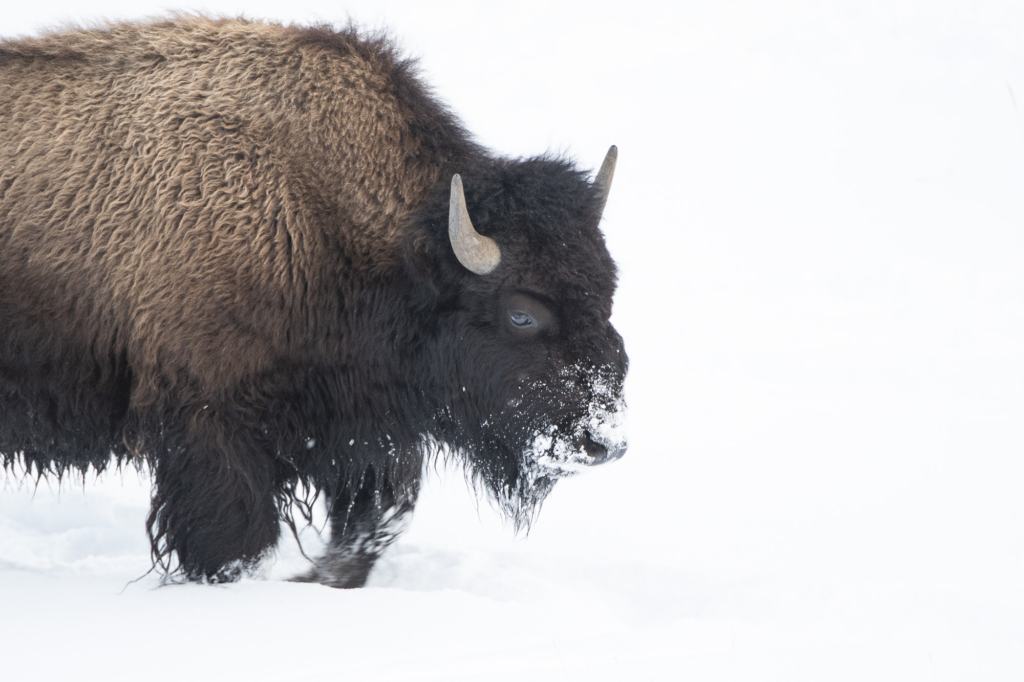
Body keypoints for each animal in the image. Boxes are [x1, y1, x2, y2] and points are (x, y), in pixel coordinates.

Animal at [0, 15, 626, 585]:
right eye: (521, 314)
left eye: (608, 292)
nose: (604, 442)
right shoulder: (210, 421)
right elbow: (234, 537)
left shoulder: (361, 427)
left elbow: (372, 521)